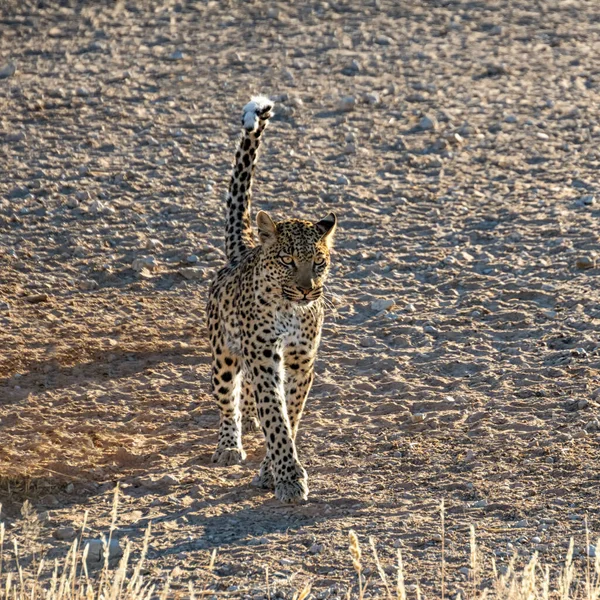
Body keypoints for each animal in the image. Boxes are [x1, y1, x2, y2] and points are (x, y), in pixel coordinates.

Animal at [206, 96, 338, 504]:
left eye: (319, 261)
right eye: (287, 260)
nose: (308, 289)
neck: (290, 308)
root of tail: (246, 249)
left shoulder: (300, 359)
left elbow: (289, 413)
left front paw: (271, 471)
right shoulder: (265, 357)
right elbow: (275, 415)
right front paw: (289, 477)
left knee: (247, 396)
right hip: (223, 355)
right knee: (227, 398)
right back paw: (229, 444)